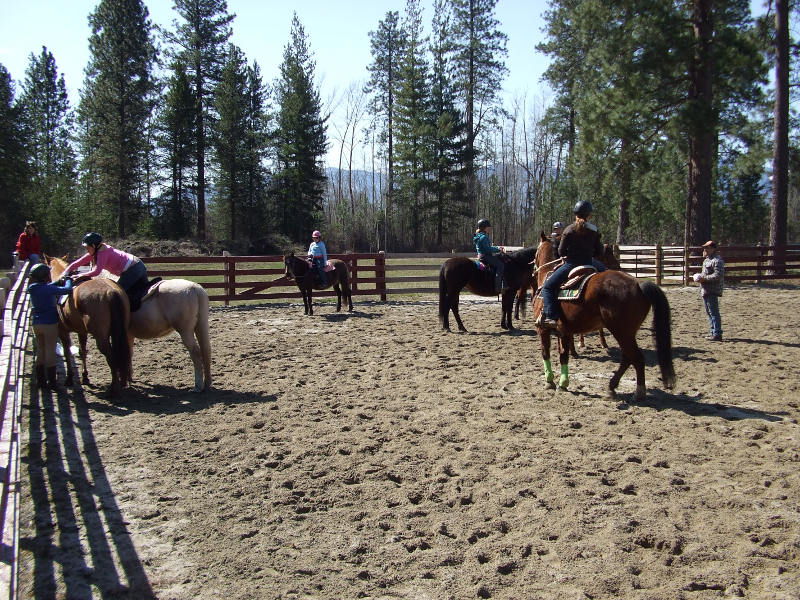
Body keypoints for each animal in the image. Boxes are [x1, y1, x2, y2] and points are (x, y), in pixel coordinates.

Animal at [45, 253, 133, 394]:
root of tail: (111, 291)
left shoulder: (62, 331)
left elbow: (67, 352)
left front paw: (69, 378)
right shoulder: (82, 332)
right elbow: (82, 351)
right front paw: (85, 377)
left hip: (101, 338)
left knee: (111, 356)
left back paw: (114, 388)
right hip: (120, 333)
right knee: (121, 354)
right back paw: (122, 382)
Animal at [532, 233, 676, 398]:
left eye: (536, 252)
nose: (533, 268)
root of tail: (638, 284)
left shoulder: (542, 329)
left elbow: (545, 353)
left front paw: (549, 381)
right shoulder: (565, 332)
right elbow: (564, 356)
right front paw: (563, 383)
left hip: (622, 332)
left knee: (636, 357)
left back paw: (638, 391)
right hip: (626, 333)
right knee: (627, 357)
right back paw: (612, 386)